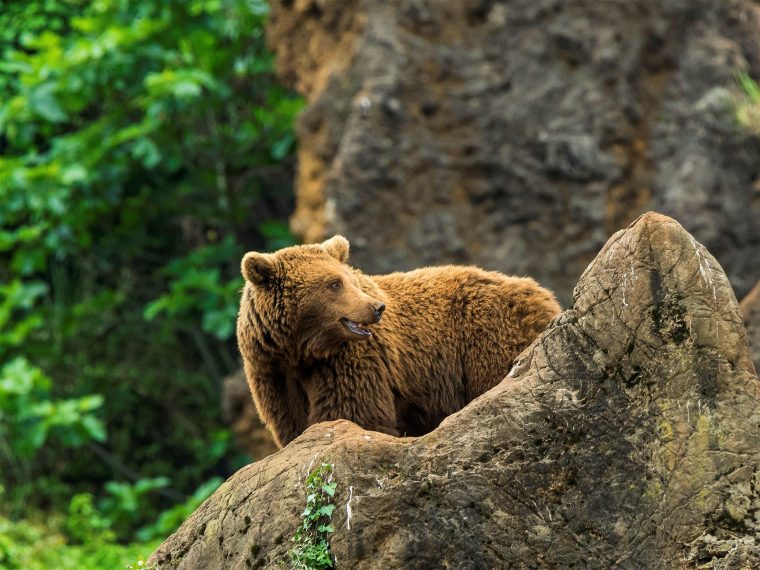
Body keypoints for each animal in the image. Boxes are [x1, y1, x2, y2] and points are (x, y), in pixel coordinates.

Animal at [235, 233, 560, 446]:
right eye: (334, 284)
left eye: (347, 279)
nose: (376, 308)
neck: (303, 349)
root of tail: (544, 293)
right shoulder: (272, 371)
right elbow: (292, 423)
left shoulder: (351, 361)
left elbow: (354, 413)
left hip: (489, 334)